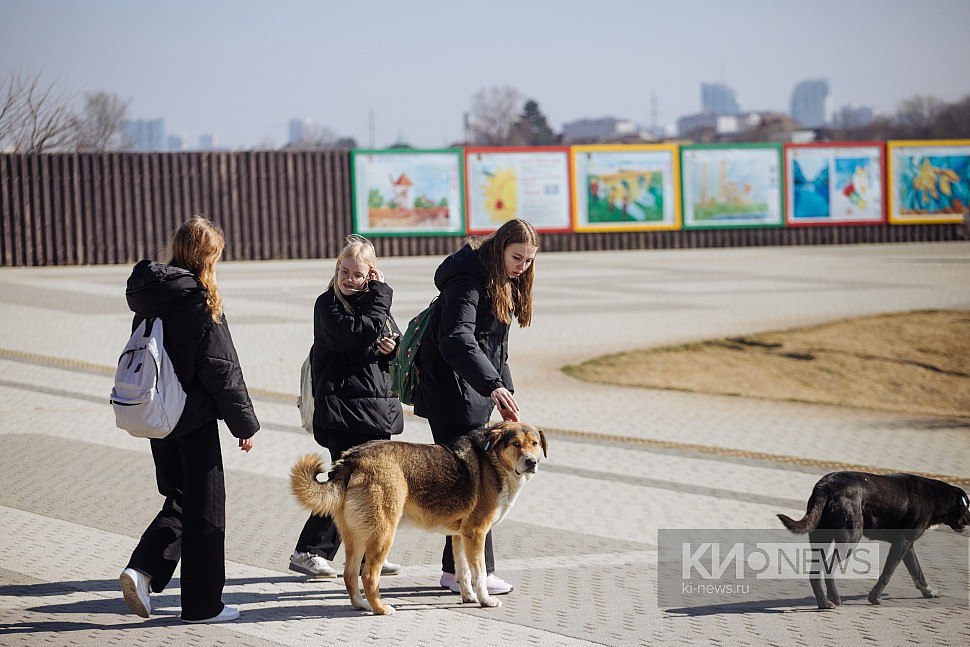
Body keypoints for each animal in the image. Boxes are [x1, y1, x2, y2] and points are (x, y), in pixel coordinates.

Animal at [290, 422, 544, 616]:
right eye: (516, 444)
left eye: (535, 444)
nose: (531, 462)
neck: (491, 460)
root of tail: (353, 459)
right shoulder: (476, 533)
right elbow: (479, 573)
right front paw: (485, 600)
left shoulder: (459, 536)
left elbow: (463, 571)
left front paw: (468, 597)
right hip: (383, 534)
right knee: (369, 576)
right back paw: (381, 609)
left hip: (356, 538)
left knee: (350, 575)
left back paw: (361, 605)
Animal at [780, 474, 968, 612]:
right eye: (968, 506)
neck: (935, 496)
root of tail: (825, 486)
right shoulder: (902, 543)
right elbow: (887, 573)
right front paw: (875, 597)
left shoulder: (908, 546)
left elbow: (918, 572)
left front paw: (928, 592)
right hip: (850, 539)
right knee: (828, 568)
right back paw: (832, 600)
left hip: (820, 539)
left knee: (815, 572)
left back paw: (823, 602)